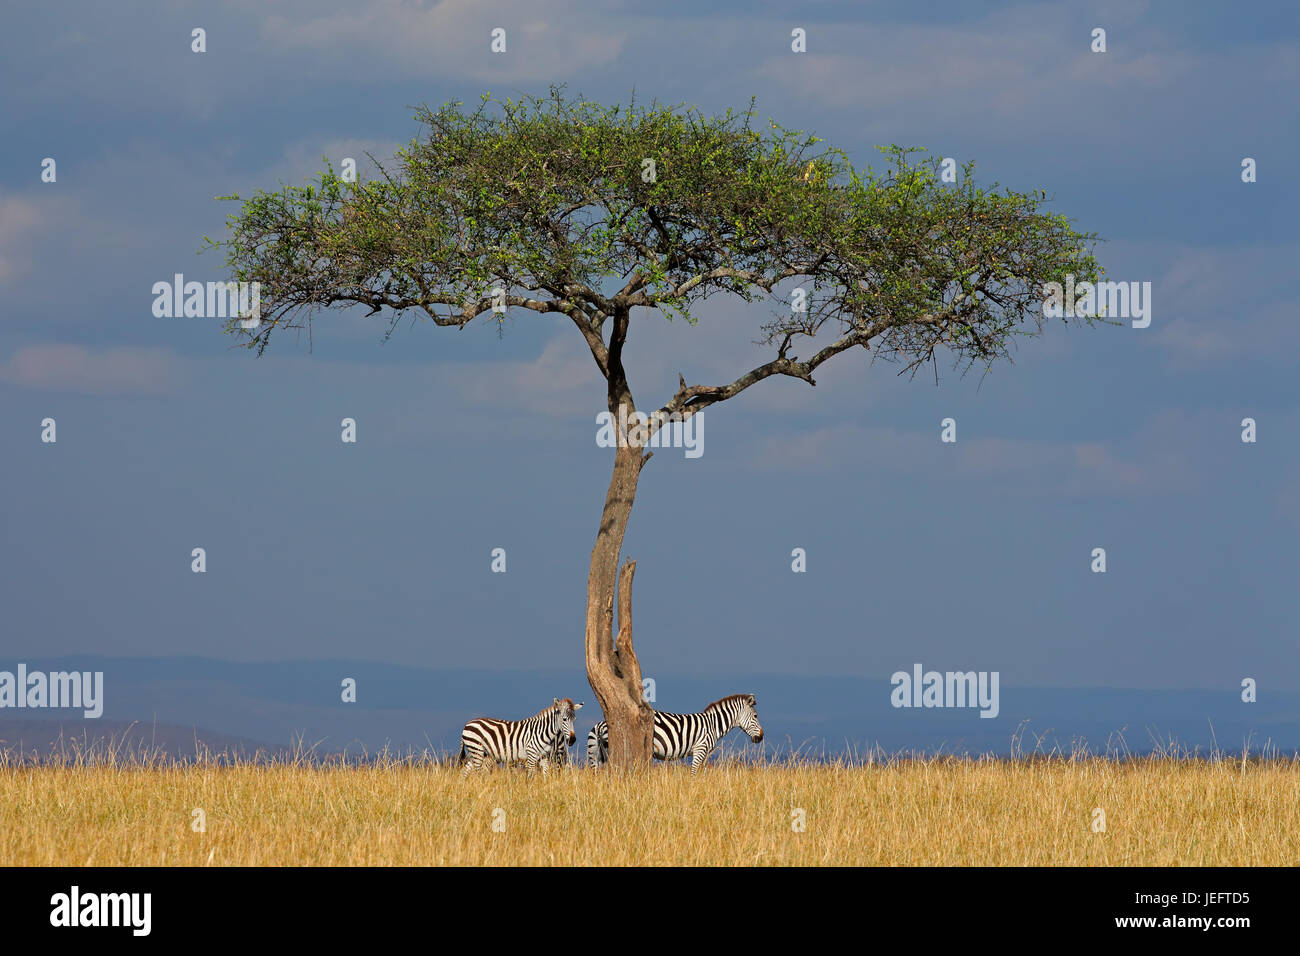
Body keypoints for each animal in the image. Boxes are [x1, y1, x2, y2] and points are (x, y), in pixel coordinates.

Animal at [454, 697, 582, 780]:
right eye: (564, 719)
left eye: (574, 719)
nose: (573, 740)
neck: (542, 732)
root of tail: (467, 724)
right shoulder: (531, 755)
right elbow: (530, 776)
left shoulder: (543, 756)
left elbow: (546, 774)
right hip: (477, 750)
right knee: (478, 773)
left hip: (478, 752)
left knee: (464, 772)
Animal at [587, 691, 759, 775]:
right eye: (756, 716)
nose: (761, 737)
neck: (713, 725)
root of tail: (600, 724)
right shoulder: (700, 749)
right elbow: (694, 773)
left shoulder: (704, 753)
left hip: (598, 753)